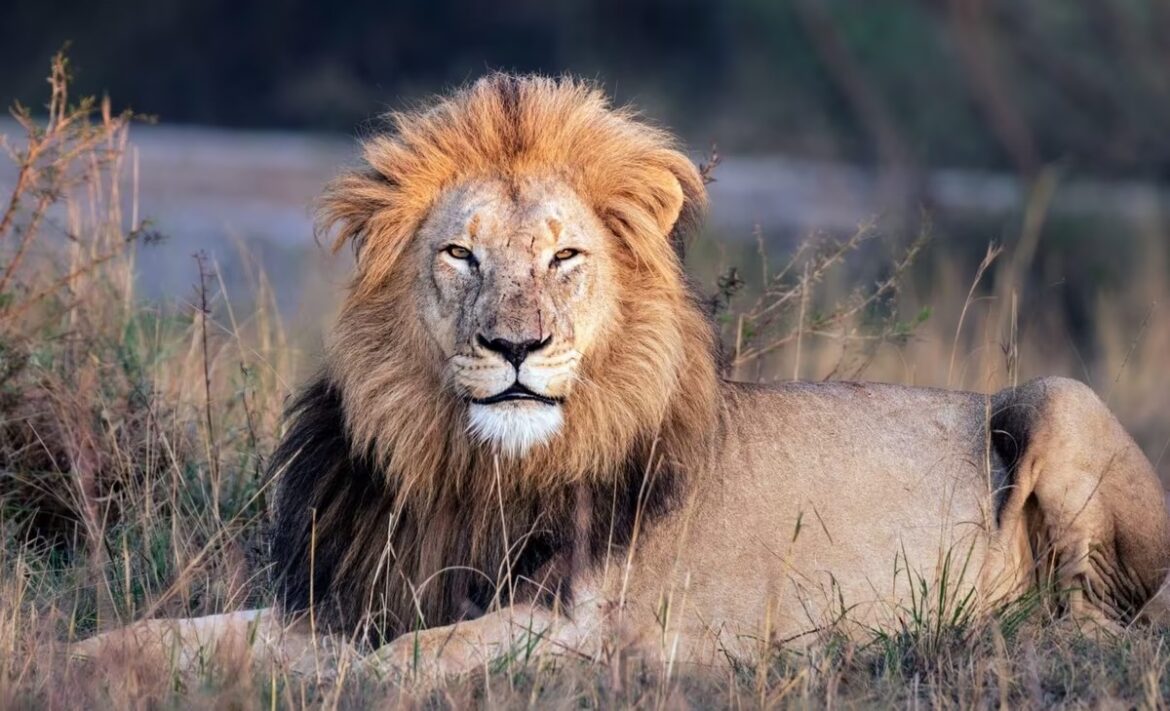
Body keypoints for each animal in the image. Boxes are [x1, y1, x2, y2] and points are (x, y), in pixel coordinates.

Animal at [73, 74, 1170, 678]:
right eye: (459, 255)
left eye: (566, 257)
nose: (515, 347)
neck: (473, 475)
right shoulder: (358, 593)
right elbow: (179, 633)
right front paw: (73, 659)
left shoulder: (590, 624)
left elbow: (410, 661)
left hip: (1060, 402)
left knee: (1113, 619)